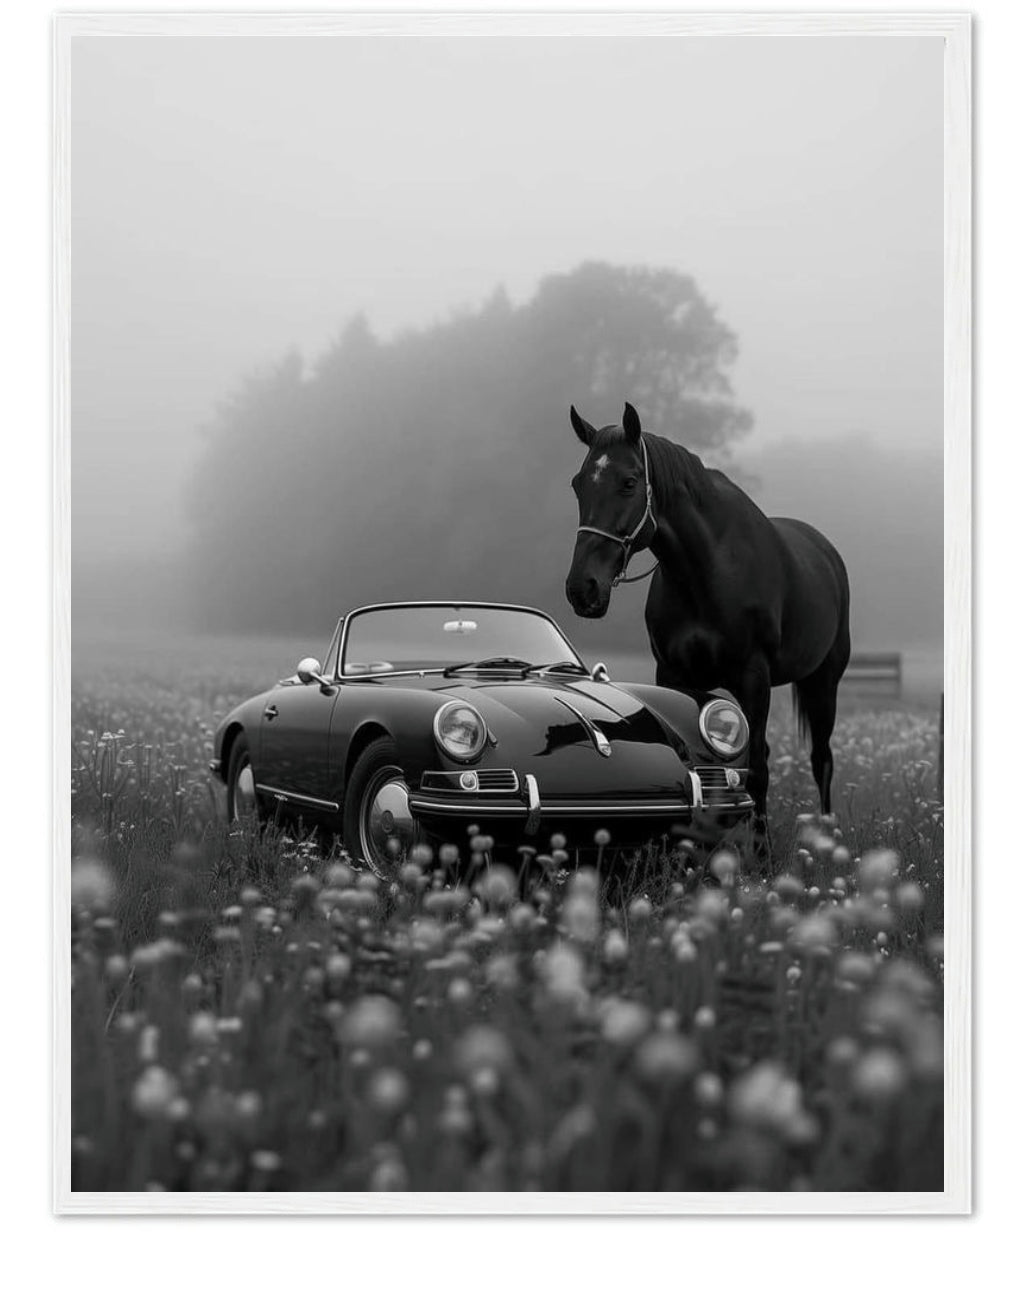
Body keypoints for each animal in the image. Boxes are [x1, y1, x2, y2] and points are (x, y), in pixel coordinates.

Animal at [564, 401, 850, 853]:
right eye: (578, 485)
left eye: (629, 482)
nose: (582, 588)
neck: (707, 572)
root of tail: (826, 552)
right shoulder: (673, 675)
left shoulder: (754, 678)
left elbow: (758, 769)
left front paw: (763, 856)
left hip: (824, 681)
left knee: (821, 759)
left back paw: (826, 838)